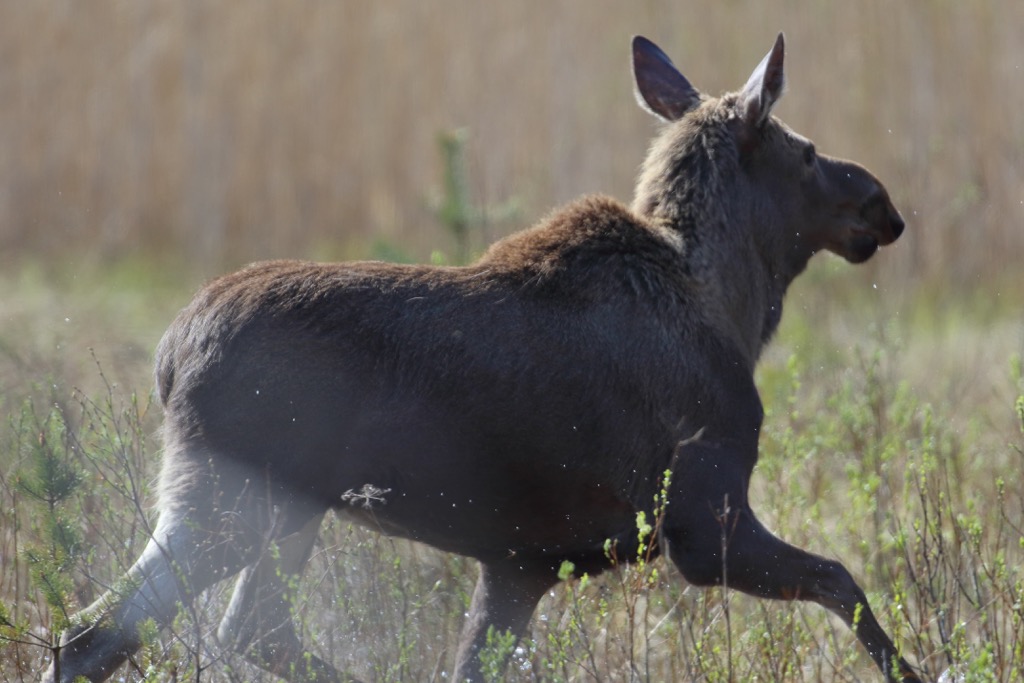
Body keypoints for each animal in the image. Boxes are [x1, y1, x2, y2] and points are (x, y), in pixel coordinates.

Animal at [44, 32, 920, 682]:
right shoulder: (704, 516)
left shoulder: (518, 561)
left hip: (272, 503)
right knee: (117, 628)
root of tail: (168, 356)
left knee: (196, 628)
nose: (881, 202)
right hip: (240, 497)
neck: (737, 308)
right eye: (806, 150)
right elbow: (842, 578)